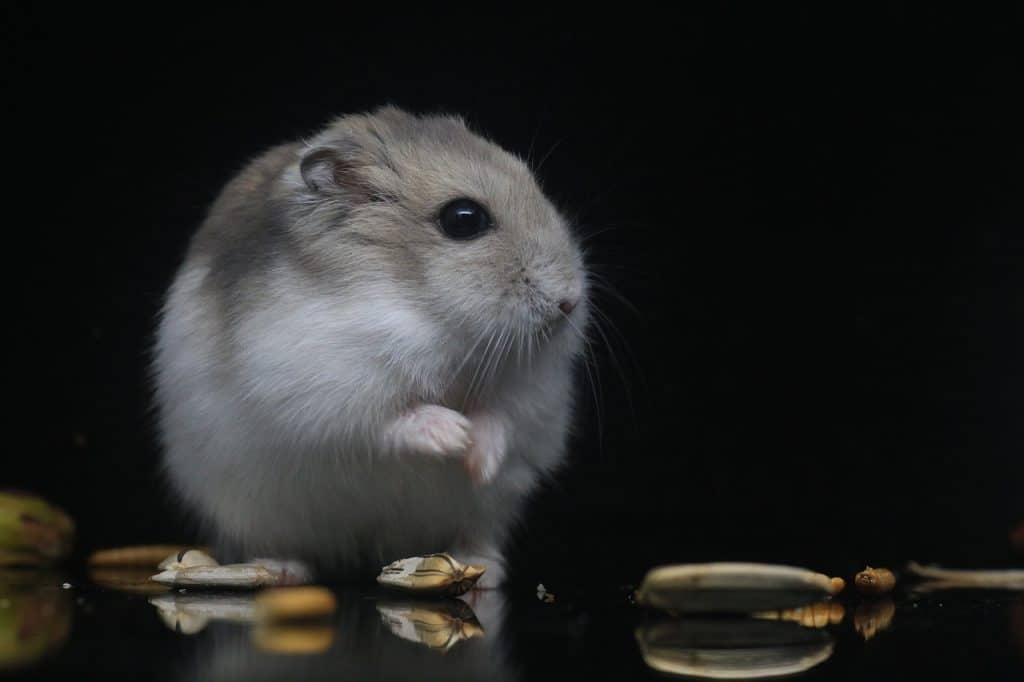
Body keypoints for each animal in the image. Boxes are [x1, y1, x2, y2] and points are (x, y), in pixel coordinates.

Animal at [153, 106, 588, 587]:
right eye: (464, 218)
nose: (570, 301)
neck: (428, 311)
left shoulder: (534, 392)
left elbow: (504, 416)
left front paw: (478, 457)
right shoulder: (325, 388)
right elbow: (388, 420)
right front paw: (454, 434)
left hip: (488, 510)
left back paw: (484, 570)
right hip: (247, 506)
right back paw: (280, 570)